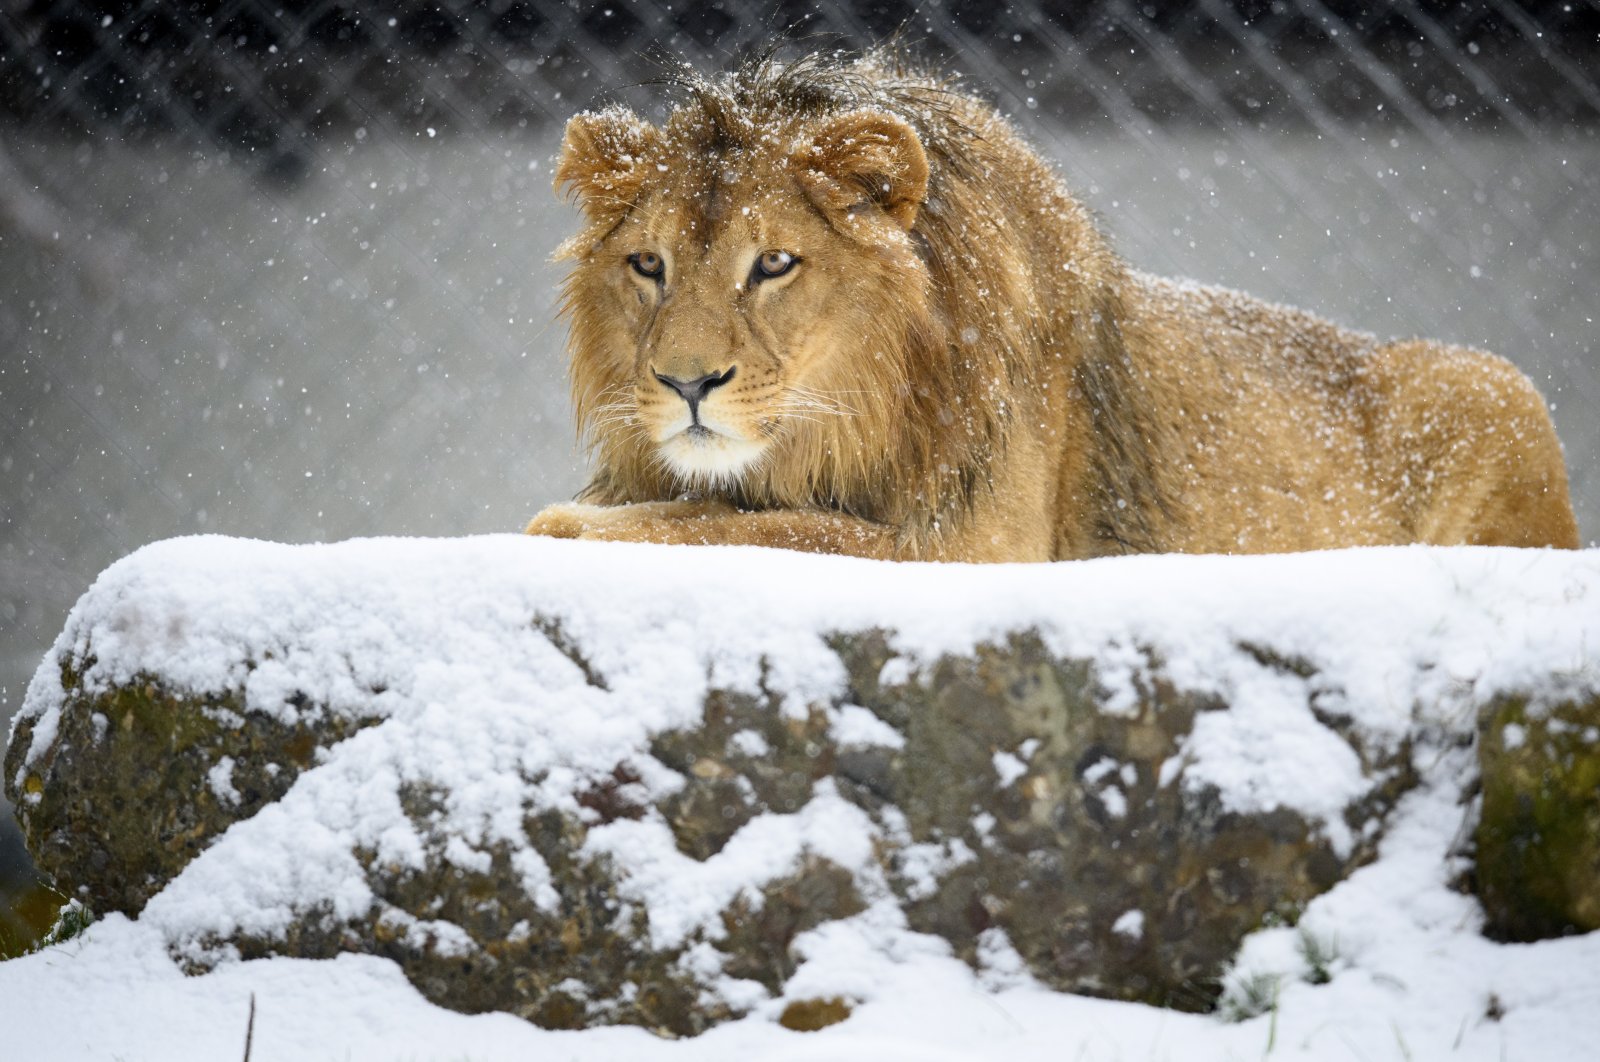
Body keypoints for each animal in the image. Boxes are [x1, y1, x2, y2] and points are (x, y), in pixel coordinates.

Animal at [525, 50, 1579, 561]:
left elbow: (762, 527)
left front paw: (564, 527)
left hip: (1495, 382)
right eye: (649, 265)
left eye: (775, 263)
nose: (685, 383)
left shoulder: (976, 549)